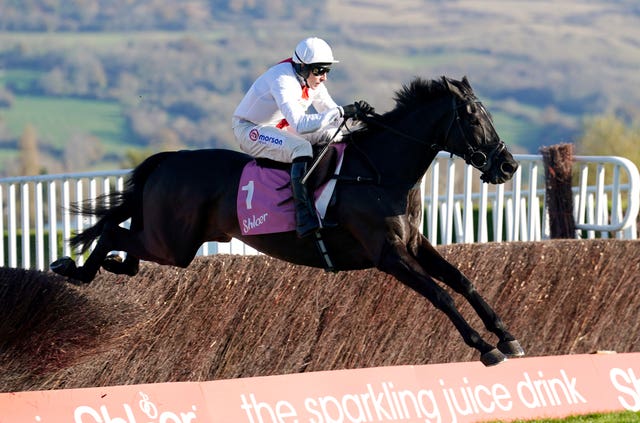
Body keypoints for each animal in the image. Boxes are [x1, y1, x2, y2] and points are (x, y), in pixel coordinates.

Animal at [52, 77, 524, 368]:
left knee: (125, 241)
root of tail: (169, 159)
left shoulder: (413, 244)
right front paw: (485, 348)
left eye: (488, 114)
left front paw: (507, 336)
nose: (508, 165)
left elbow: (463, 281)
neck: (380, 172)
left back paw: (103, 266)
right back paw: (75, 269)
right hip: (172, 242)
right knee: (113, 232)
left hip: (171, 242)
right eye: (473, 118)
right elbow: (440, 295)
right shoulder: (387, 255)